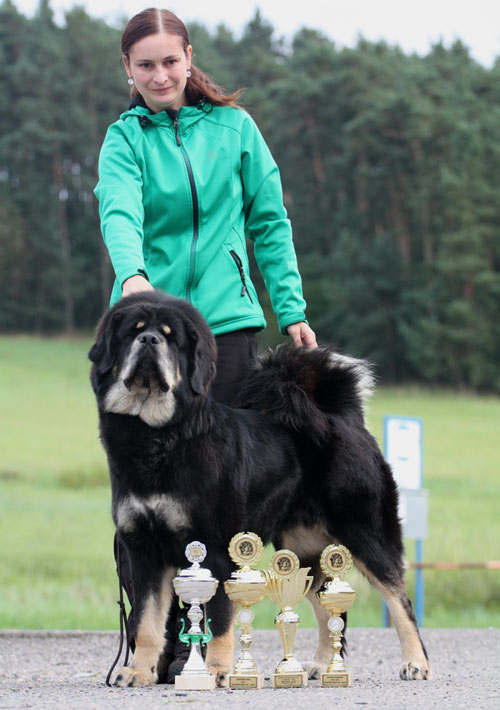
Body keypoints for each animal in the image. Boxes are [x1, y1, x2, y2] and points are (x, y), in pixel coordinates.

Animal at [89, 290, 430, 688]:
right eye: (133, 331)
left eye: (171, 338)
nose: (149, 341)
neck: (155, 435)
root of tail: (342, 416)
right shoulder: (142, 549)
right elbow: (145, 621)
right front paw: (139, 672)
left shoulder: (214, 547)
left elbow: (219, 619)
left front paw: (217, 671)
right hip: (303, 548)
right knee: (325, 605)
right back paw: (321, 664)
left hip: (366, 533)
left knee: (399, 601)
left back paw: (416, 663)